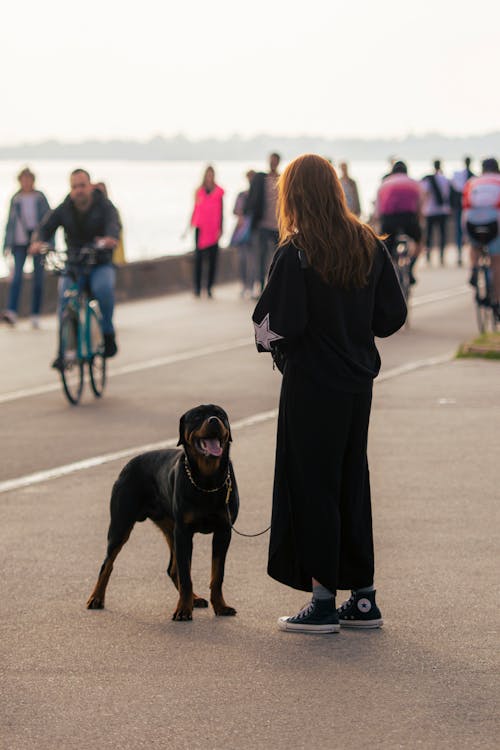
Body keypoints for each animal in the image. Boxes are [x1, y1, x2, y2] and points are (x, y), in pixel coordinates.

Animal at [87, 406, 239, 624]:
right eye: (197, 416)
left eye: (221, 415)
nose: (213, 420)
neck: (207, 479)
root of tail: (129, 463)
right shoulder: (184, 532)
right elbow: (186, 576)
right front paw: (183, 610)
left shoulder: (223, 531)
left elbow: (217, 575)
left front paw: (220, 606)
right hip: (121, 524)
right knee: (107, 563)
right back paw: (96, 598)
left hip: (170, 529)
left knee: (173, 568)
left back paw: (194, 599)